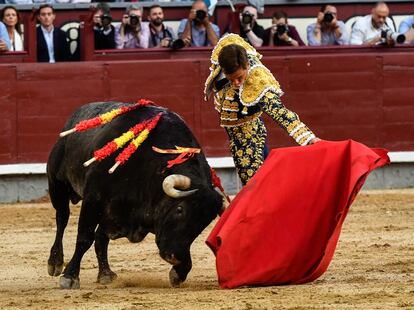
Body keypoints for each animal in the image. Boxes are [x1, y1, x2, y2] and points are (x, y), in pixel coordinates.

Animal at [47, 103, 225, 290]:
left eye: (204, 223)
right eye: (179, 209)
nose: (175, 257)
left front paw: (179, 273)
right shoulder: (93, 199)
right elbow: (84, 238)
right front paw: (70, 276)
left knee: (100, 237)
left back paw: (105, 273)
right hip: (57, 185)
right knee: (62, 218)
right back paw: (55, 262)